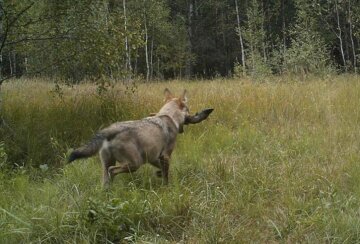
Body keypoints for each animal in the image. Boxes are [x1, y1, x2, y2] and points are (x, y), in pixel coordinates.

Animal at [68, 88, 211, 188]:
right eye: (189, 109)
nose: (194, 115)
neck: (168, 116)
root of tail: (110, 130)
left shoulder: (154, 157)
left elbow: (162, 170)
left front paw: (158, 174)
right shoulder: (165, 156)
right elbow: (166, 177)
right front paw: (167, 188)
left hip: (111, 165)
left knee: (106, 180)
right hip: (134, 164)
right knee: (112, 171)